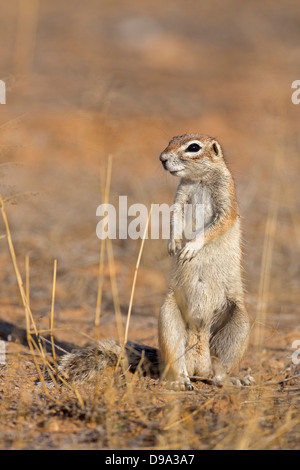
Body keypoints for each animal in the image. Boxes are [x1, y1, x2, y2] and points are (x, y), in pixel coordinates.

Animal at [56, 133, 253, 390]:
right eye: (171, 140)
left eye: (193, 147)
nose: (162, 158)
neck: (199, 180)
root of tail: (200, 363)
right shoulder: (180, 196)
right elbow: (174, 217)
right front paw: (173, 244)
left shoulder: (226, 198)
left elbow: (218, 224)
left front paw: (189, 247)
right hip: (168, 317)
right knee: (176, 364)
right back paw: (180, 382)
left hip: (239, 323)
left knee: (221, 370)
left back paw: (233, 380)